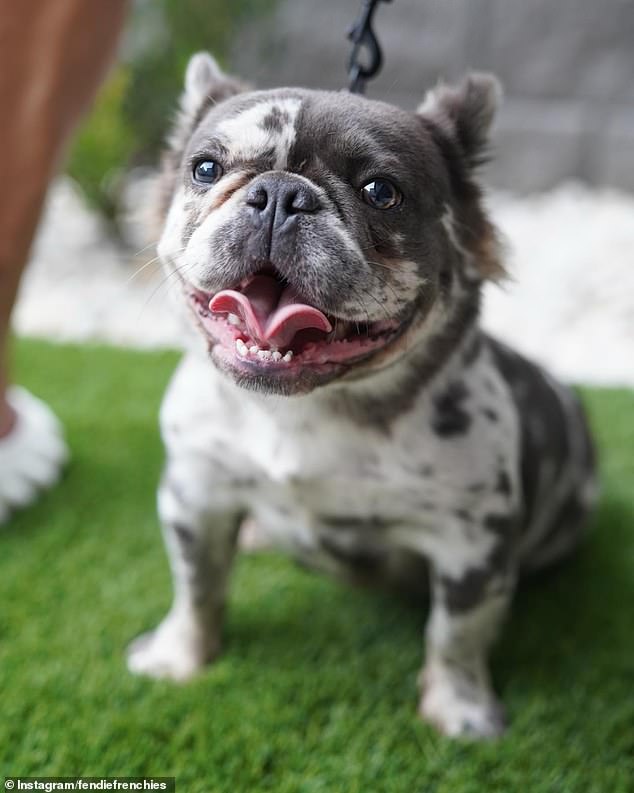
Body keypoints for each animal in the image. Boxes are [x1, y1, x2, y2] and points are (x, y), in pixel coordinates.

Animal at [126, 54, 596, 736]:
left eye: (381, 191)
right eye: (205, 168)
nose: (279, 193)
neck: (305, 407)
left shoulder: (471, 547)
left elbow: (456, 635)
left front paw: (459, 712)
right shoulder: (194, 496)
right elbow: (196, 588)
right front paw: (178, 659)